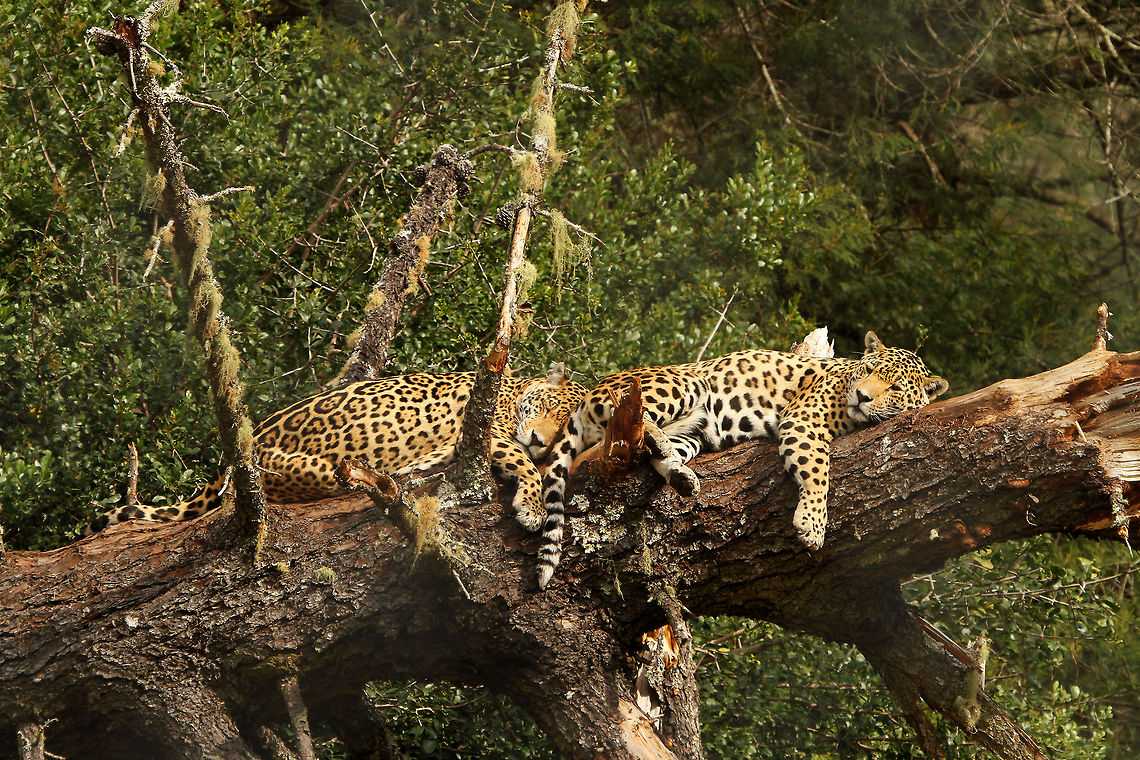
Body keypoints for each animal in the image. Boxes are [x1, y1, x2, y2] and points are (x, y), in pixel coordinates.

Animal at [86, 365, 587, 542]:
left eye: (568, 426)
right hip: (301, 470)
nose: (540, 438)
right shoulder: (489, 432)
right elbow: (525, 464)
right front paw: (532, 505)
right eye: (547, 409)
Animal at [534, 332, 947, 587]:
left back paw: (681, 475)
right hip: (681, 384)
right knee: (635, 415)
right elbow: (819, 473)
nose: (862, 395)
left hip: (694, 432)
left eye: (894, 387)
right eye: (870, 370)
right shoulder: (803, 422)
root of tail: (588, 392)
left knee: (654, 451)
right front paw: (812, 526)